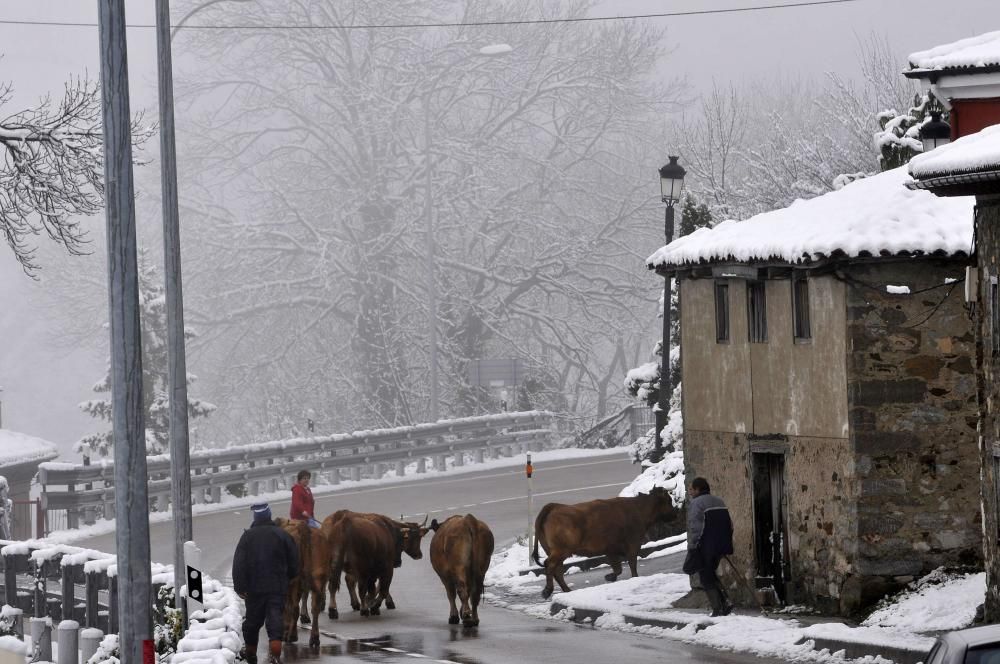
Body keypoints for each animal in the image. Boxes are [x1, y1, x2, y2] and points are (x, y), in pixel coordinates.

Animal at [276, 516, 330, 644]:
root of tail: (304, 529)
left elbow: (288, 606)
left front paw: (286, 629)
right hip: (318, 576)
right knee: (315, 606)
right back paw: (314, 638)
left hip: (295, 580)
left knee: (295, 607)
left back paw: (291, 636)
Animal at [532, 486, 680, 600]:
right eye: (669, 500)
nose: (675, 514)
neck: (638, 509)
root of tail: (554, 506)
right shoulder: (633, 544)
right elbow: (632, 564)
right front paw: (634, 578)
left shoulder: (611, 550)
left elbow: (618, 568)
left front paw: (610, 576)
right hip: (561, 551)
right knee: (550, 565)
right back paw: (548, 590)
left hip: (555, 551)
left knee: (557, 570)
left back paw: (567, 590)